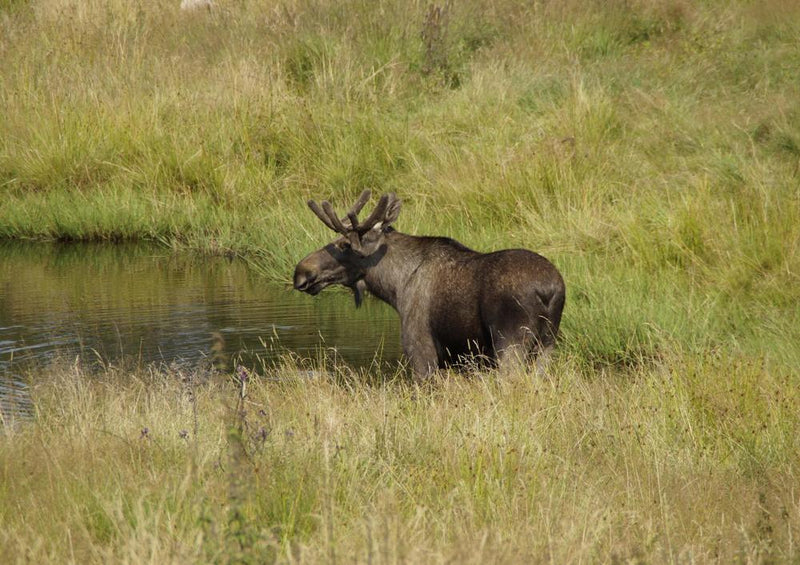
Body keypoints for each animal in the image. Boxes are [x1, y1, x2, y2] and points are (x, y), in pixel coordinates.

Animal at [292, 191, 564, 378]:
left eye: (344, 244)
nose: (301, 272)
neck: (394, 286)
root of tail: (549, 291)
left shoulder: (421, 353)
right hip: (547, 344)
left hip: (511, 344)